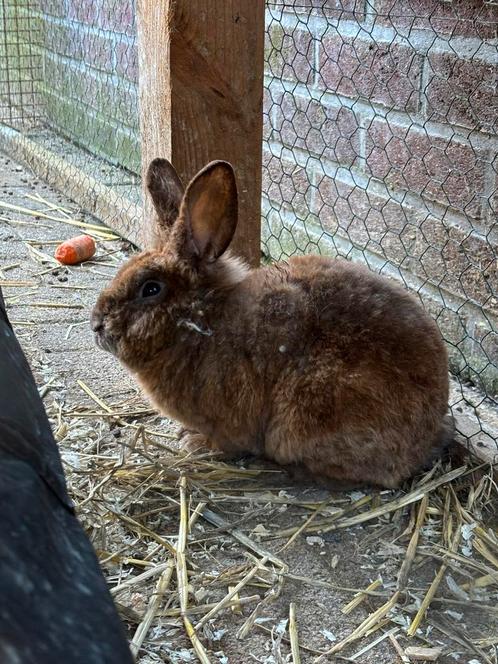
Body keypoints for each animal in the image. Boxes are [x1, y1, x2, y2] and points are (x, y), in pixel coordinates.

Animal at [91, 156, 454, 488]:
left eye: (151, 289)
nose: (96, 325)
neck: (200, 321)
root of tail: (426, 438)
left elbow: (225, 443)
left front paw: (193, 443)